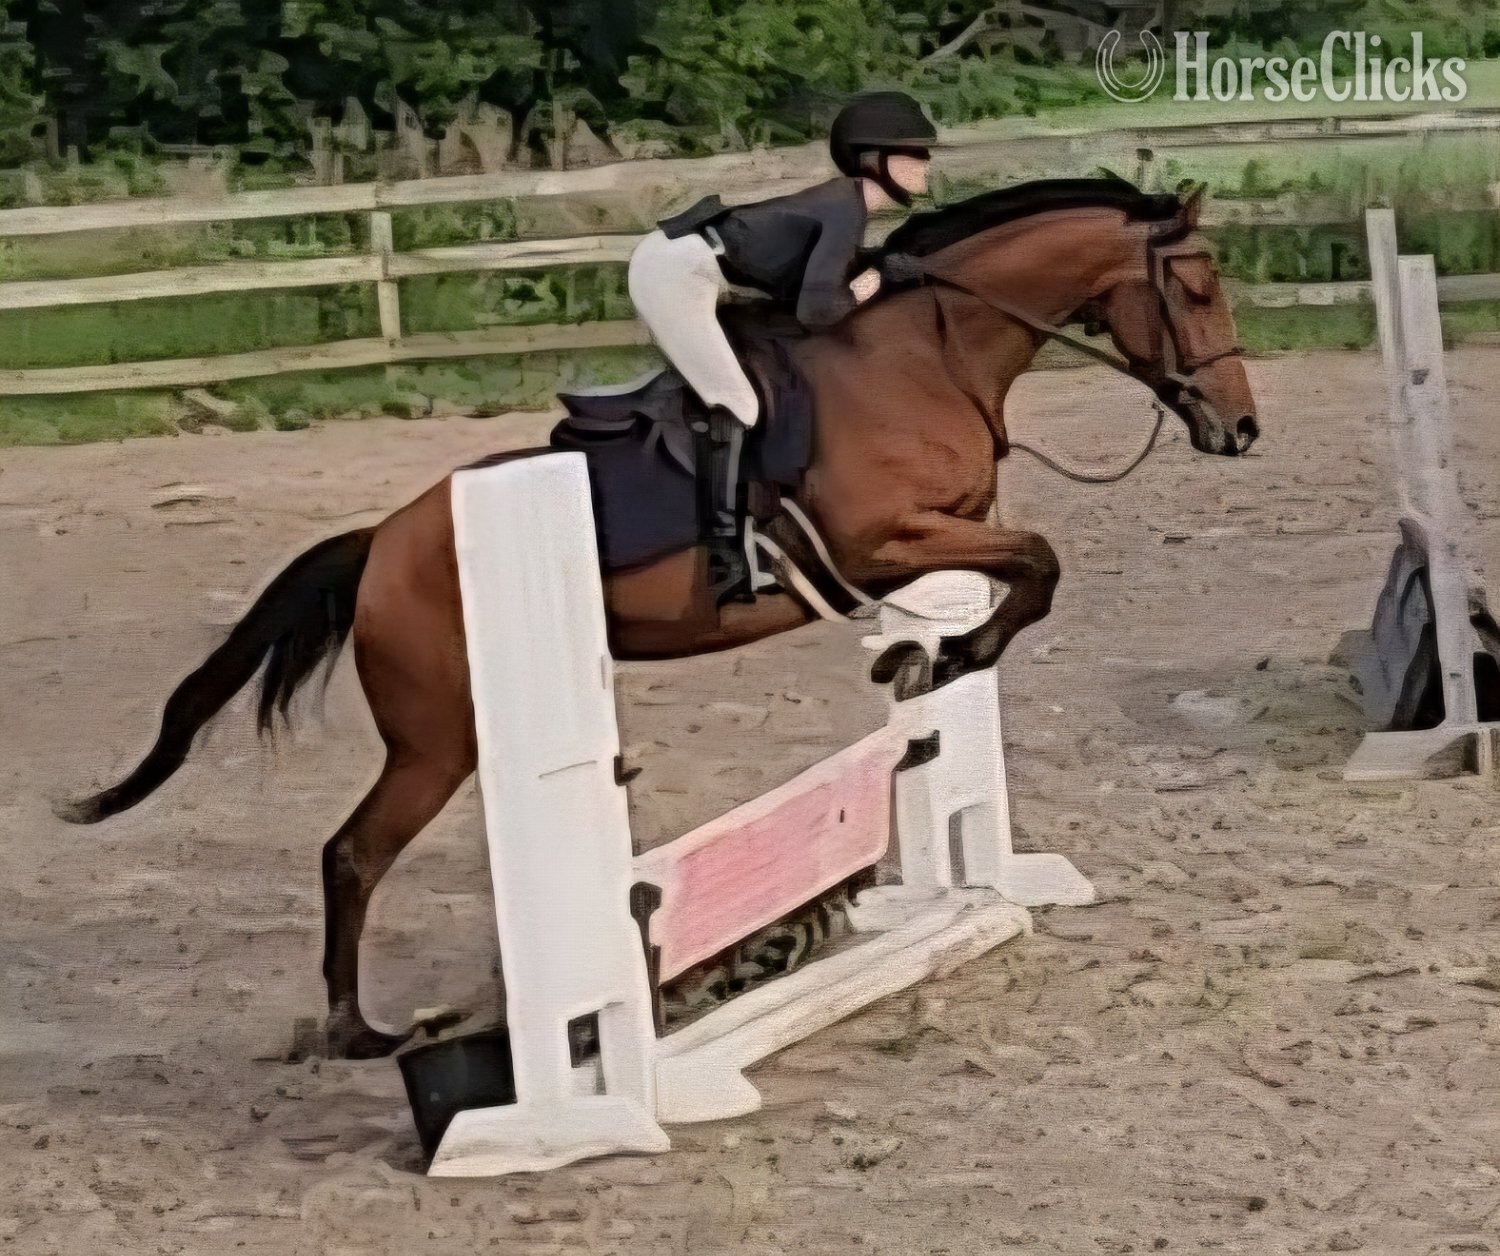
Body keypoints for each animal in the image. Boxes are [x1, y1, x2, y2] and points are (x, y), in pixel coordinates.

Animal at [59, 180, 1260, 1058]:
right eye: (1198, 287)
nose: (1241, 429)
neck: (930, 353)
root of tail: (379, 546)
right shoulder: (878, 542)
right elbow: (1041, 566)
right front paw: (949, 654)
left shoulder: (946, 529)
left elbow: (1017, 574)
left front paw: (923, 659)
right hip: (438, 737)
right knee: (351, 853)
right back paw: (358, 1031)